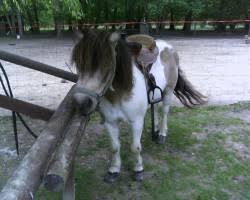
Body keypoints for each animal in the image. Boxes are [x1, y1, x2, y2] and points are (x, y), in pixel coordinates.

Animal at [71, 30, 206, 183]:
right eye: (78, 64)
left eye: (107, 65)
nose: (81, 102)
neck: (121, 92)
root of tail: (168, 47)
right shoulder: (110, 122)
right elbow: (114, 147)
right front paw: (114, 170)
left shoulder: (136, 122)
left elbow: (135, 147)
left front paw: (138, 169)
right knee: (157, 108)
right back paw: (157, 128)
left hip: (168, 91)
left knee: (164, 112)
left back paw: (161, 134)